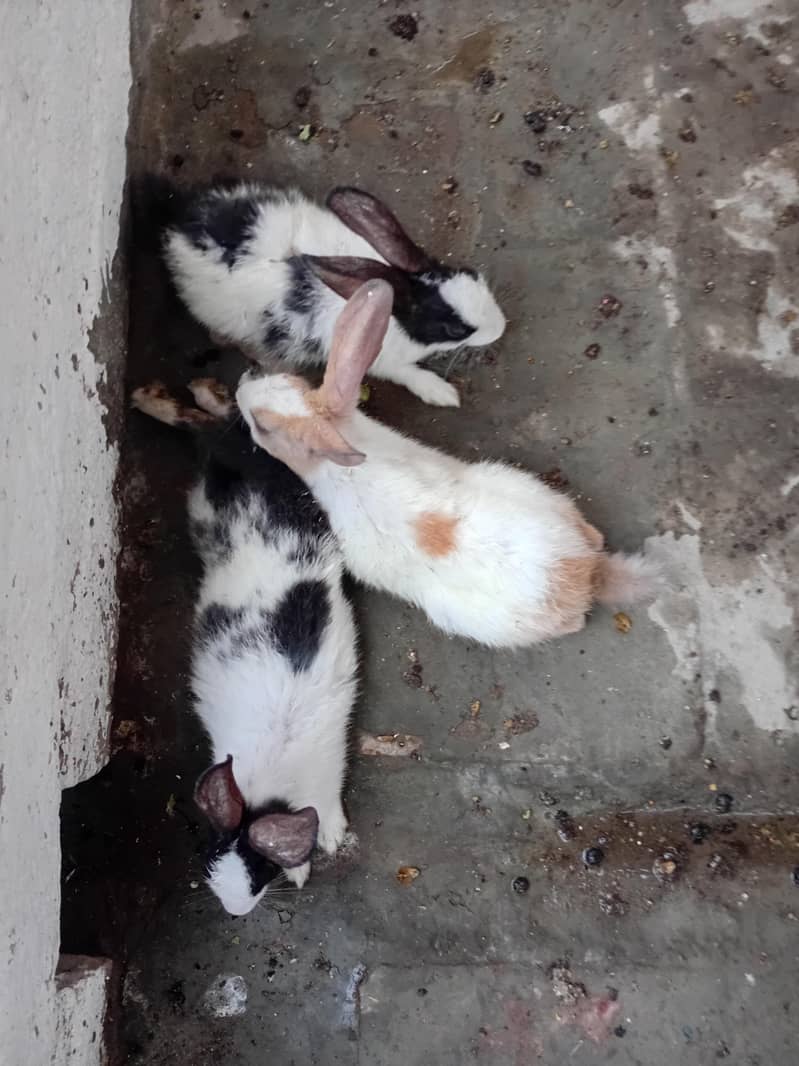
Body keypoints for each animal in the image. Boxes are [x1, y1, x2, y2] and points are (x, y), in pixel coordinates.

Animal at [131, 378, 358, 915]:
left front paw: (328, 840)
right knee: (201, 422)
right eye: (212, 852)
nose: (235, 910)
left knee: (204, 424)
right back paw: (155, 398)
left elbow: (326, 810)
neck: (261, 792)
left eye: (260, 871)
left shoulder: (329, 766)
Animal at [153, 177, 506, 407]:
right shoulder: (384, 361)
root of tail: (180, 231)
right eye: (453, 328)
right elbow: (408, 374)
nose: (500, 328)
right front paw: (443, 393)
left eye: (471, 273)